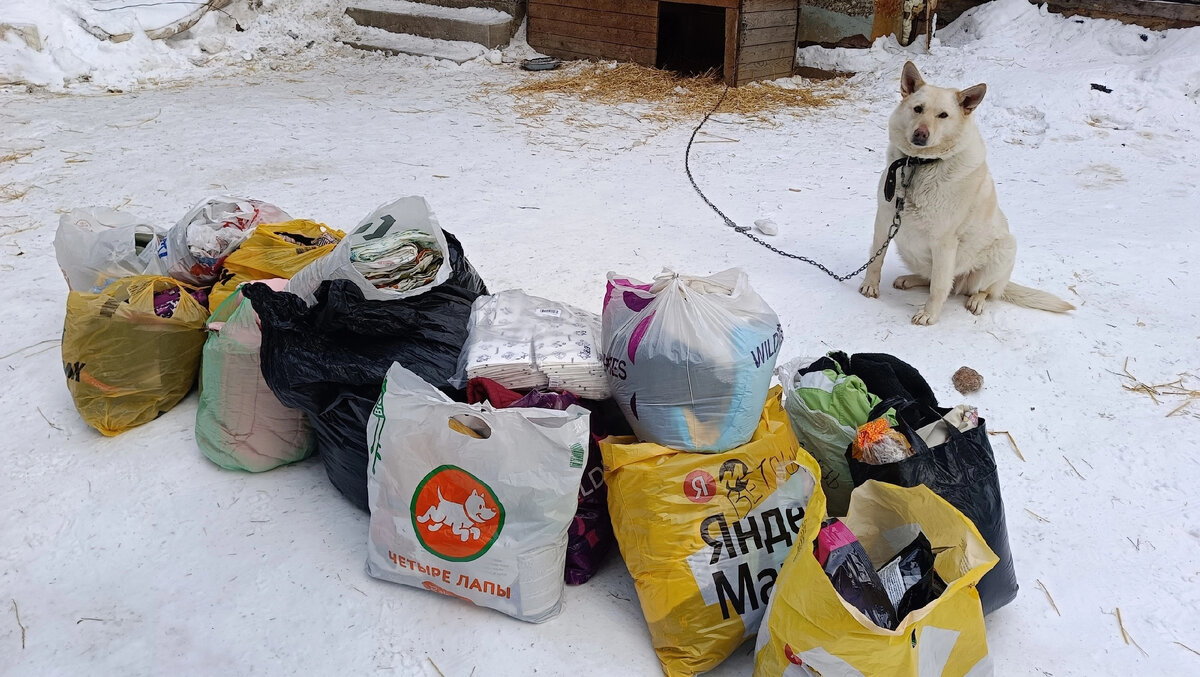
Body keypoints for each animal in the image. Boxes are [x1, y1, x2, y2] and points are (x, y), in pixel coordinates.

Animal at [859, 61, 1075, 324]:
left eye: (943, 115)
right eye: (918, 109)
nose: (921, 134)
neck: (919, 165)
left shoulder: (944, 241)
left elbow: (939, 286)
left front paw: (929, 315)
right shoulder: (884, 219)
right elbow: (876, 259)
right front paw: (870, 286)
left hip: (1003, 250)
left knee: (979, 289)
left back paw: (976, 300)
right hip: (911, 249)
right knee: (937, 280)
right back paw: (910, 279)